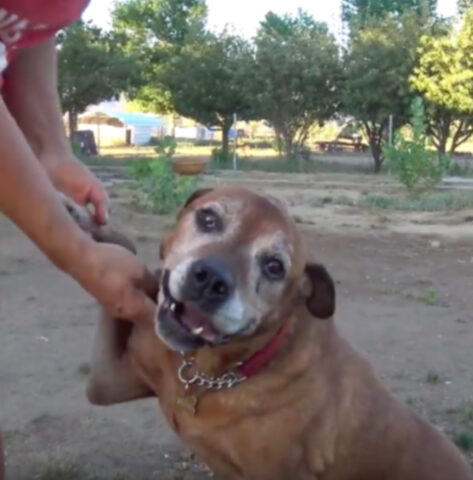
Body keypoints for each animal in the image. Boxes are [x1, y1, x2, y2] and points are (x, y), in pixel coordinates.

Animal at [66, 188, 472, 480]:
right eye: (208, 218)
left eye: (275, 266)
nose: (210, 279)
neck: (209, 373)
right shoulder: (106, 382)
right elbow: (126, 256)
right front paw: (85, 220)